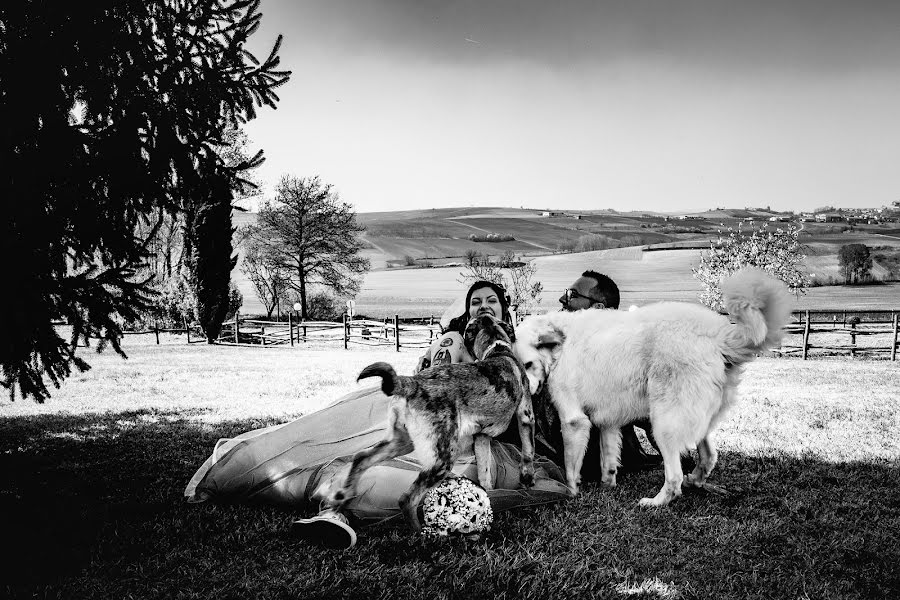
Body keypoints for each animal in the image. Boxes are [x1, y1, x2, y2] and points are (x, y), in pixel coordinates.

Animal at [324, 314, 536, 528]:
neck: (496, 348)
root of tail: (412, 383)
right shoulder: (526, 415)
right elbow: (528, 451)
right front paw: (527, 480)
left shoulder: (481, 436)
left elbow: (485, 472)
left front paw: (491, 494)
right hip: (442, 456)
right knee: (407, 499)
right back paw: (421, 532)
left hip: (402, 441)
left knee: (362, 457)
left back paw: (342, 496)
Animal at [510, 270, 792, 508]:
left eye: (529, 365)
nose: (527, 395)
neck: (559, 345)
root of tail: (718, 336)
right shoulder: (608, 420)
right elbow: (608, 459)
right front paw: (607, 485)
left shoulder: (574, 420)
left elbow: (570, 467)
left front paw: (570, 491)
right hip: (695, 418)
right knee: (709, 456)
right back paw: (695, 479)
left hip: (663, 422)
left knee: (675, 477)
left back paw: (656, 502)